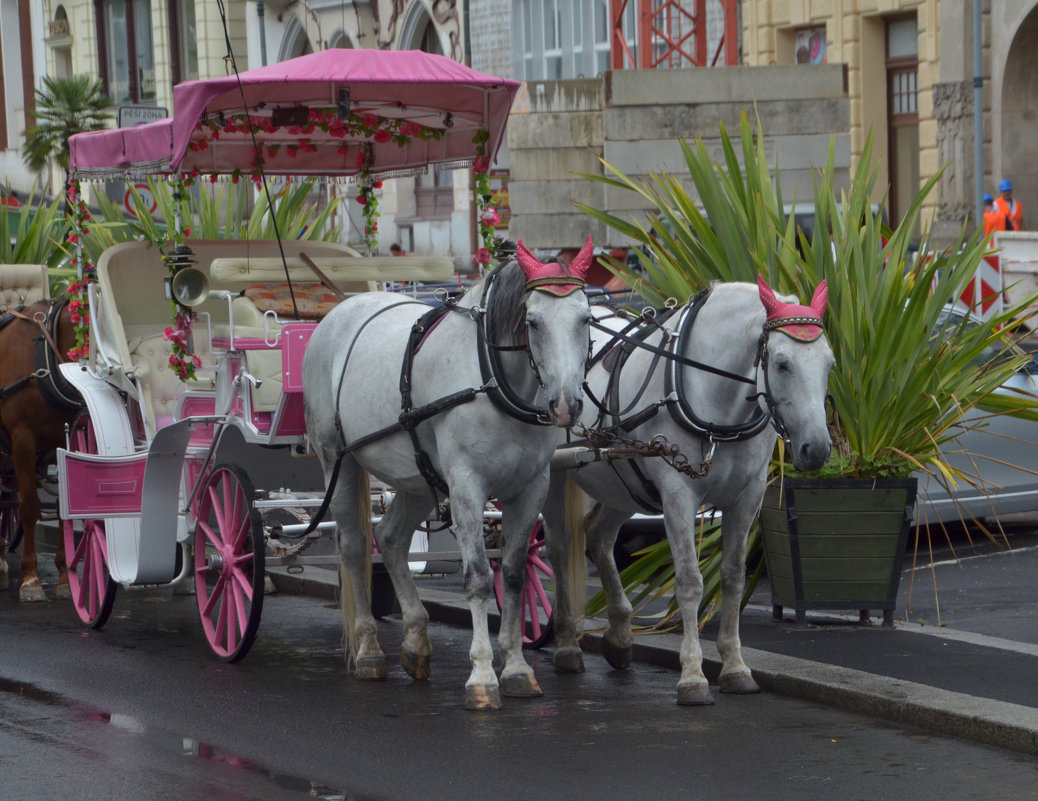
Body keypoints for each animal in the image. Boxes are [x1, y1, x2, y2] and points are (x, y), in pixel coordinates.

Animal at [0, 300, 80, 601]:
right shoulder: (23, 440)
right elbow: (29, 507)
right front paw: (30, 579)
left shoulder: (64, 440)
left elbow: (62, 507)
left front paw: (64, 577)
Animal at [303, 236, 593, 705]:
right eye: (532, 322)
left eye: (586, 318)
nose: (566, 405)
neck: (493, 381)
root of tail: (341, 309)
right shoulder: (466, 487)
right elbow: (477, 577)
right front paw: (482, 674)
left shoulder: (531, 487)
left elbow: (514, 575)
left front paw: (516, 667)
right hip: (338, 461)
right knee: (354, 546)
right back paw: (369, 651)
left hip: (416, 476)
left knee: (391, 539)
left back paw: (416, 641)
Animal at [543, 278, 834, 705]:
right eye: (782, 363)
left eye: (829, 362)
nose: (817, 449)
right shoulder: (678, 495)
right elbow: (690, 583)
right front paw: (693, 675)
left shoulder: (747, 496)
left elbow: (733, 577)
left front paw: (735, 666)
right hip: (549, 475)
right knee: (560, 548)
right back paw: (565, 643)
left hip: (625, 482)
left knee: (598, 537)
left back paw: (620, 635)